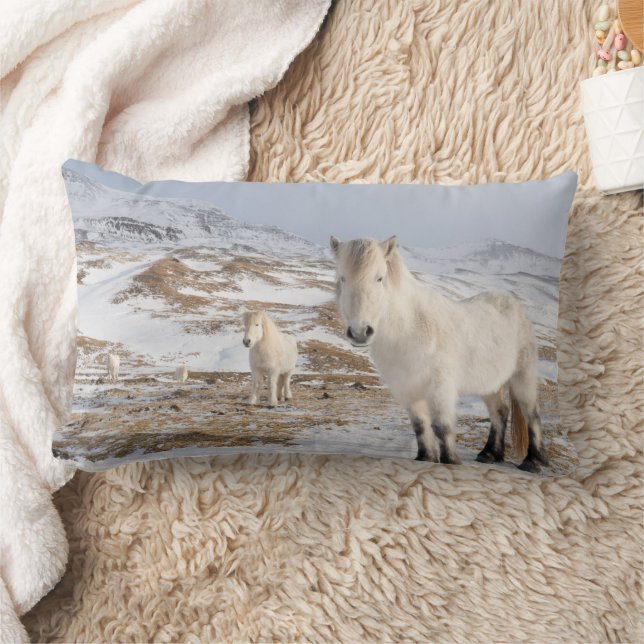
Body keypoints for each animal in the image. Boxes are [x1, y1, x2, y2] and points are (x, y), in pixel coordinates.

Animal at [330, 235, 549, 473]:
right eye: (343, 278)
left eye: (379, 278)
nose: (360, 332)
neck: (410, 328)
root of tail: (512, 303)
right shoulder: (407, 389)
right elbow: (420, 425)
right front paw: (426, 457)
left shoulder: (440, 387)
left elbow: (442, 426)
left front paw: (450, 461)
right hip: (490, 384)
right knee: (499, 412)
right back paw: (489, 454)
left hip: (522, 376)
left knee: (532, 414)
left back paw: (533, 461)